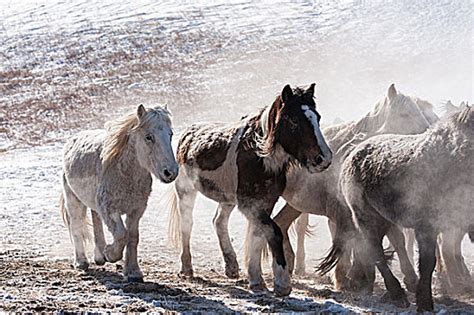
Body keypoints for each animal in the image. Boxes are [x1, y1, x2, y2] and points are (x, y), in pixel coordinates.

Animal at [59, 105, 178, 282]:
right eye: (148, 137)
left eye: (170, 134)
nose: (170, 172)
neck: (124, 172)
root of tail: (73, 139)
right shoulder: (110, 210)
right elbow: (122, 235)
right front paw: (111, 254)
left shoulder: (136, 211)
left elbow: (133, 237)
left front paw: (133, 272)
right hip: (73, 199)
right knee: (76, 225)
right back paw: (81, 262)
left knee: (95, 220)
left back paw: (99, 256)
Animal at [168, 83, 332, 296]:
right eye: (295, 120)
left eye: (317, 117)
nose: (323, 159)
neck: (260, 157)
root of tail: (187, 134)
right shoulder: (249, 205)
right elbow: (274, 232)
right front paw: (281, 282)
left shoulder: (265, 202)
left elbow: (258, 236)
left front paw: (256, 279)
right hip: (186, 191)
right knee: (187, 225)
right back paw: (187, 268)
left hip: (227, 198)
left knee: (219, 221)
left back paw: (231, 266)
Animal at [274, 83, 436, 292]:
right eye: (404, 113)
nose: (427, 133)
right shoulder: (342, 211)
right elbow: (348, 241)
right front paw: (345, 278)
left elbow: (395, 240)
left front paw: (409, 279)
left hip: (296, 204)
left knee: (280, 223)